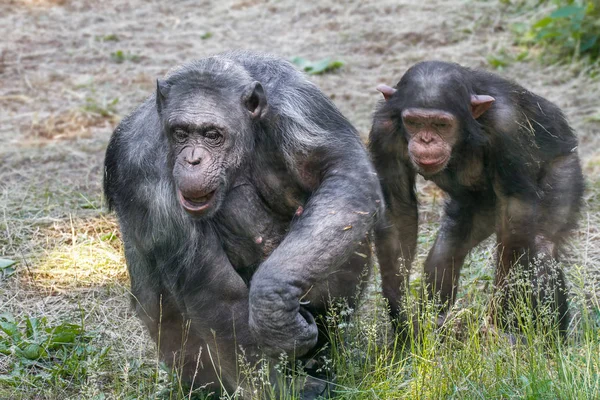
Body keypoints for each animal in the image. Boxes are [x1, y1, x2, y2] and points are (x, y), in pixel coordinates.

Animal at [368, 61, 584, 338]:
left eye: (441, 125)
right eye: (414, 122)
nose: (426, 139)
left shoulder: (508, 126)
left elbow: (516, 211)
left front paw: (498, 319)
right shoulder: (383, 131)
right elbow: (397, 207)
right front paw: (402, 314)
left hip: (565, 165)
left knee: (542, 246)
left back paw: (548, 340)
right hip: (476, 208)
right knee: (445, 255)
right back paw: (437, 325)